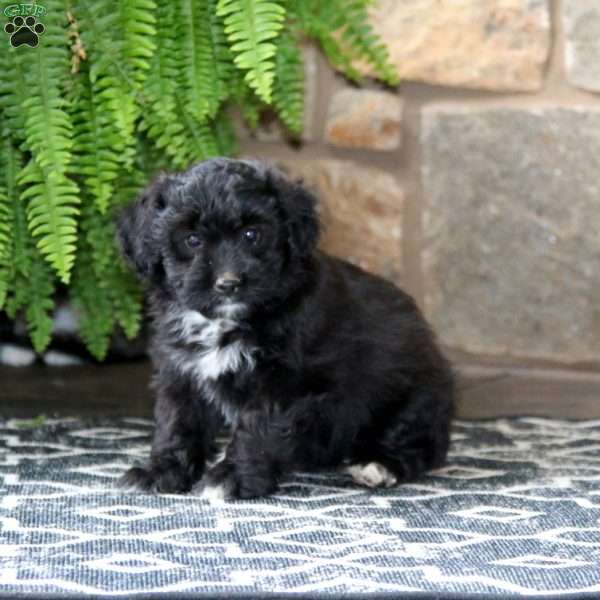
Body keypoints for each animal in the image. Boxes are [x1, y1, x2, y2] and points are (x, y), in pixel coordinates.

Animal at [117, 157, 454, 500]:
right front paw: (162, 471)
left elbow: (259, 429)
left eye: (252, 234)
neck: (229, 321)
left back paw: (378, 465)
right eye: (192, 240)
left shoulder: (285, 383)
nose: (228, 283)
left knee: (419, 444)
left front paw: (232, 477)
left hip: (414, 397)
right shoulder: (182, 372)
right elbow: (178, 424)